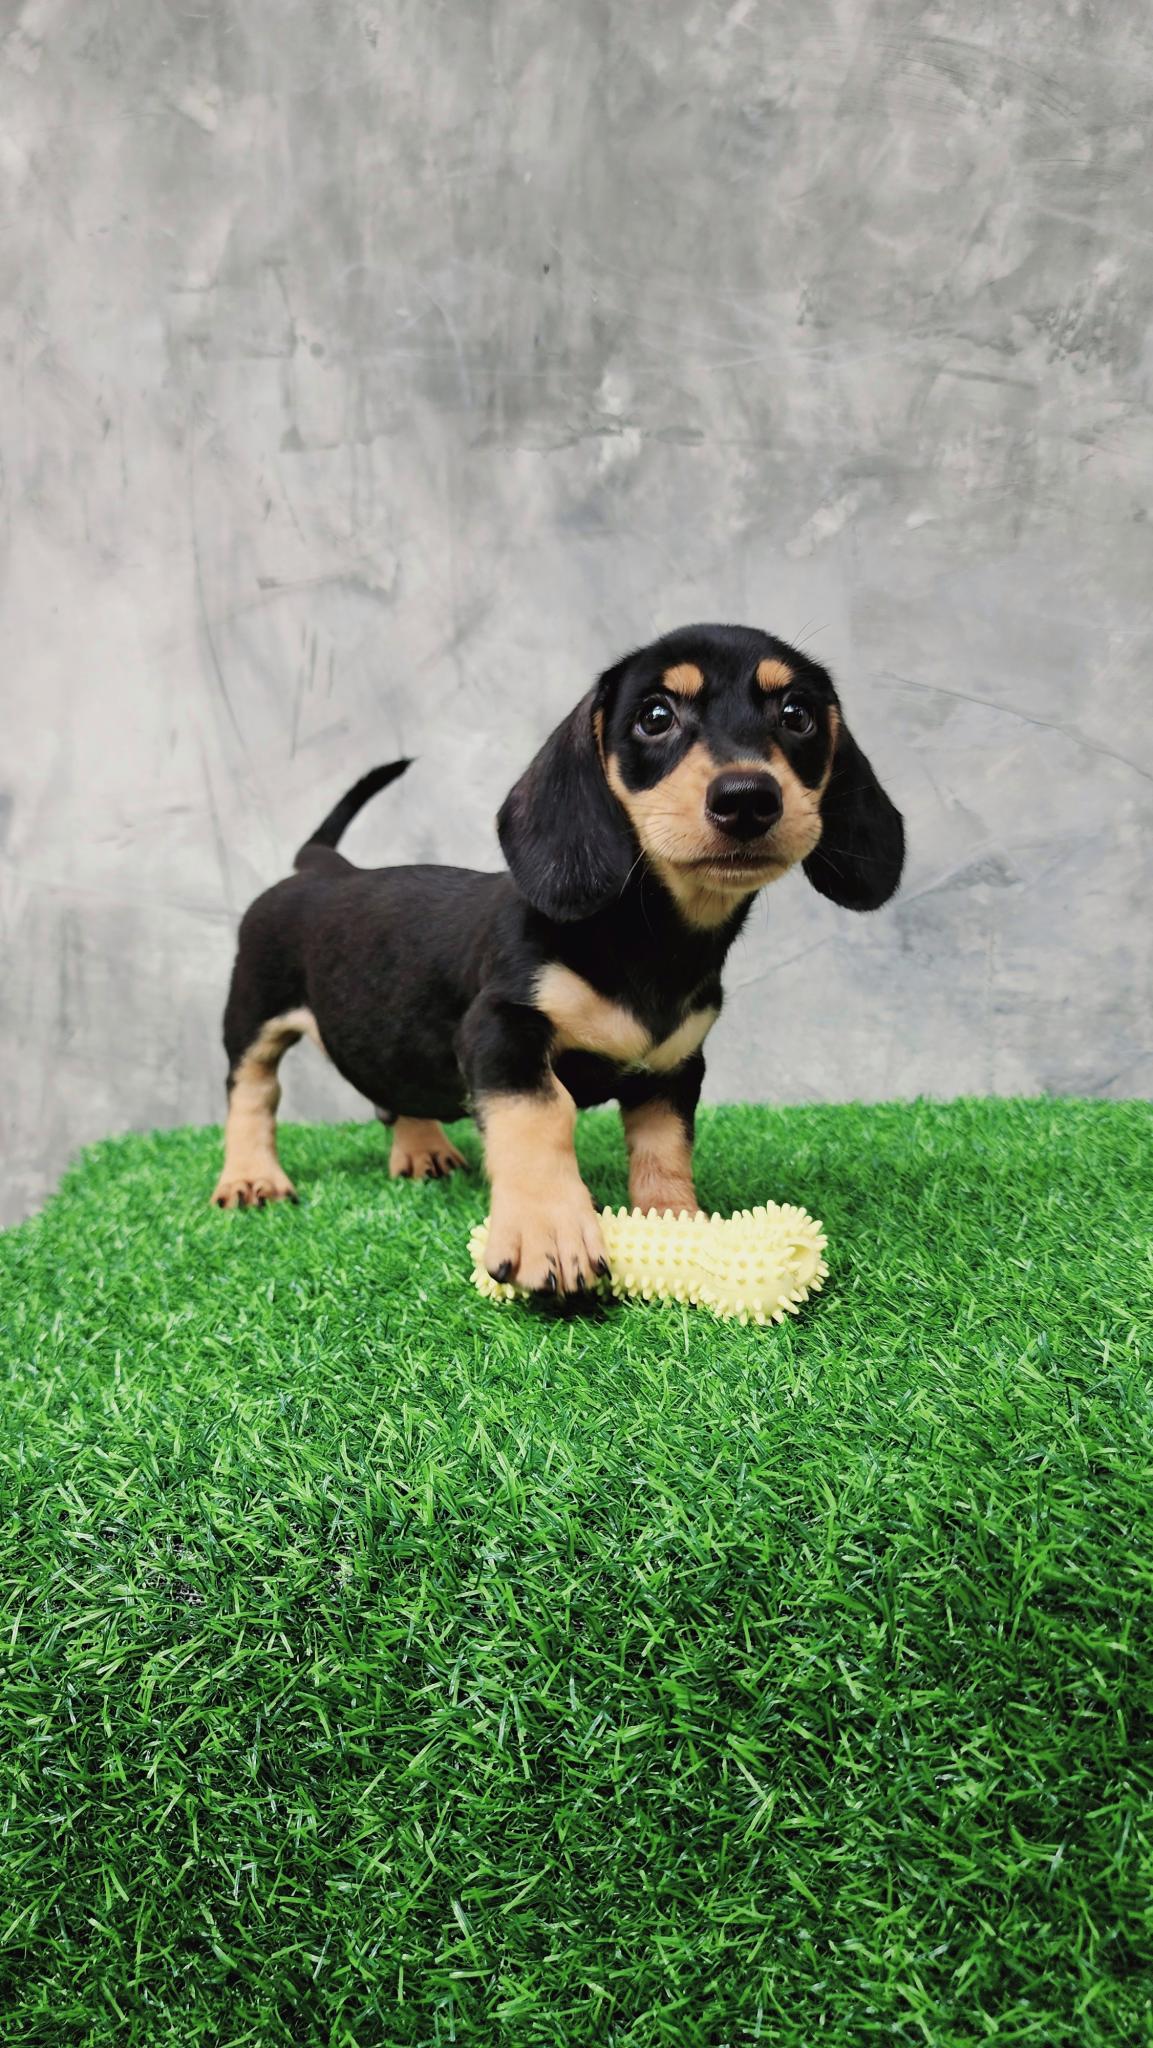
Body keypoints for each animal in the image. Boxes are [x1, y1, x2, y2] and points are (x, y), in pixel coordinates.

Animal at [213, 623, 904, 1294]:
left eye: (798, 715)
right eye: (655, 716)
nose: (747, 798)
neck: (649, 939)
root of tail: (319, 867)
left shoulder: (675, 1068)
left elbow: (665, 1151)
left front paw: (676, 1226)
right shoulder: (500, 1031)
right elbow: (541, 1116)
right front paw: (548, 1232)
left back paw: (421, 1148)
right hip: (252, 1017)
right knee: (252, 1093)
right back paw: (251, 1177)